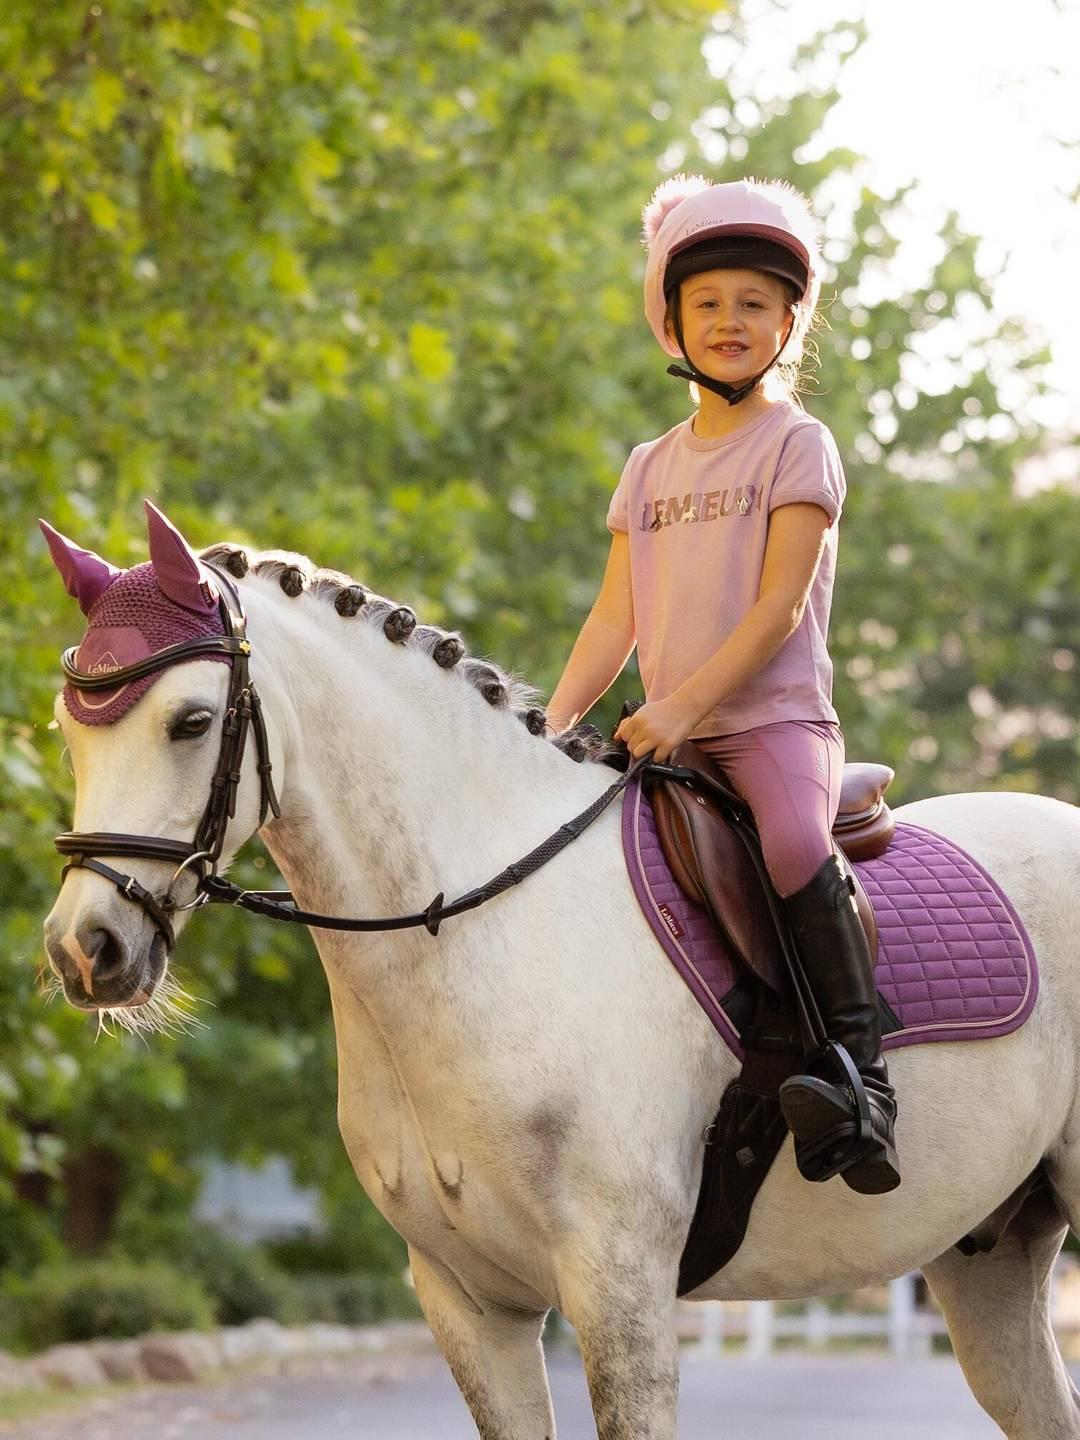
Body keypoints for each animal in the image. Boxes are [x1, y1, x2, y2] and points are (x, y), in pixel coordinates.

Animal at [40, 504, 1080, 1439]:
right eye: (67, 730)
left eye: (191, 722)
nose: (84, 949)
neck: (476, 929)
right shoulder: (468, 1303)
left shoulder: (621, 1292)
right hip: (987, 1260)